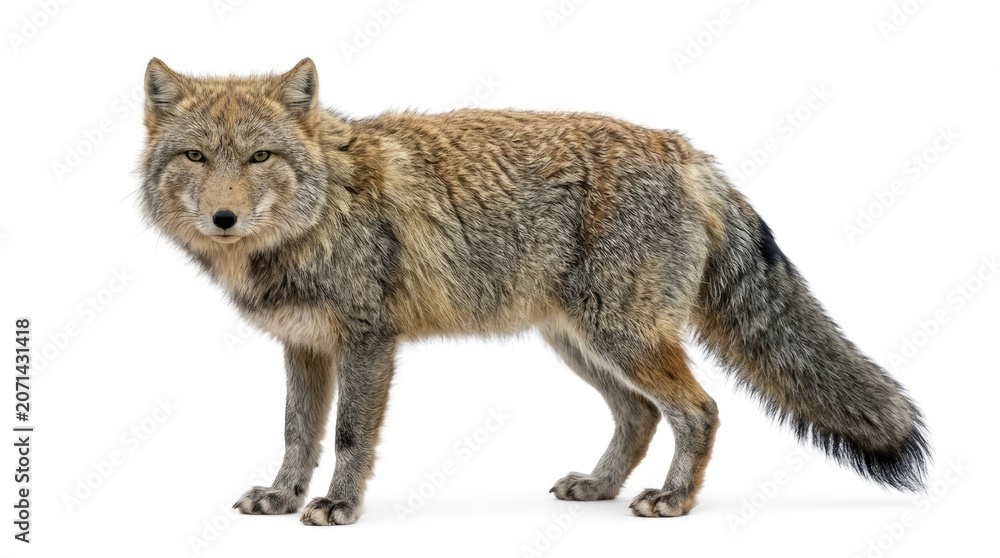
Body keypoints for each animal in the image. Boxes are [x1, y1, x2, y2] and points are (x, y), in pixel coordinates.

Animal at [139, 58, 929, 525]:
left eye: (260, 157)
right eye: (197, 157)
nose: (223, 217)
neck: (320, 212)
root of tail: (684, 149)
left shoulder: (368, 343)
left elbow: (349, 436)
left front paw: (339, 505)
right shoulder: (304, 348)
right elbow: (297, 434)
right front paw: (282, 496)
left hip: (622, 339)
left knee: (698, 410)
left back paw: (675, 498)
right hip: (582, 347)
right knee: (642, 416)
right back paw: (602, 488)